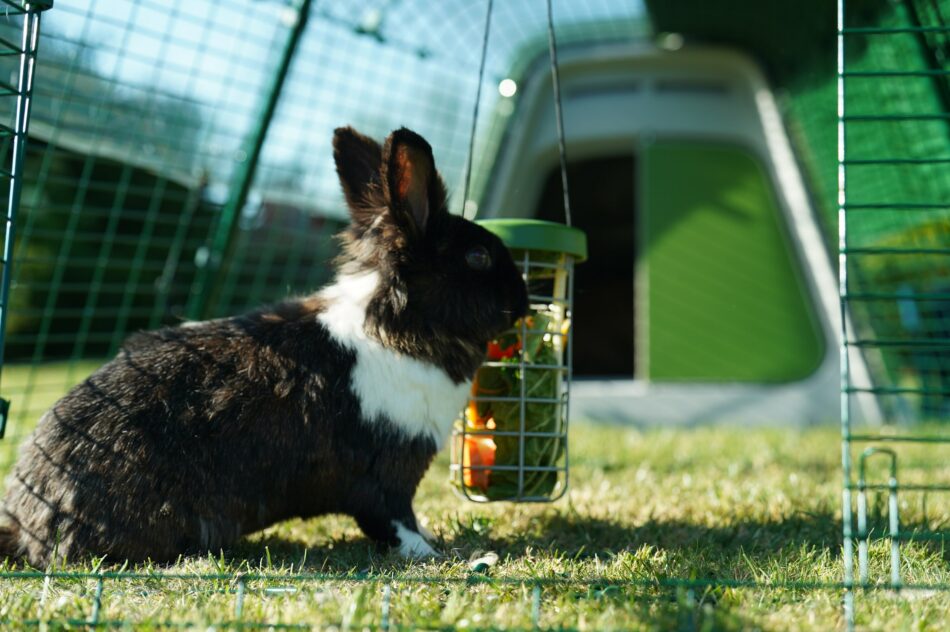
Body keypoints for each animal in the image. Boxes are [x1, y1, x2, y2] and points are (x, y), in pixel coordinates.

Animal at [0, 126, 528, 564]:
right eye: (478, 257)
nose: (523, 299)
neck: (400, 323)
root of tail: (26, 525)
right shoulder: (387, 473)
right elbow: (394, 521)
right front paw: (434, 553)